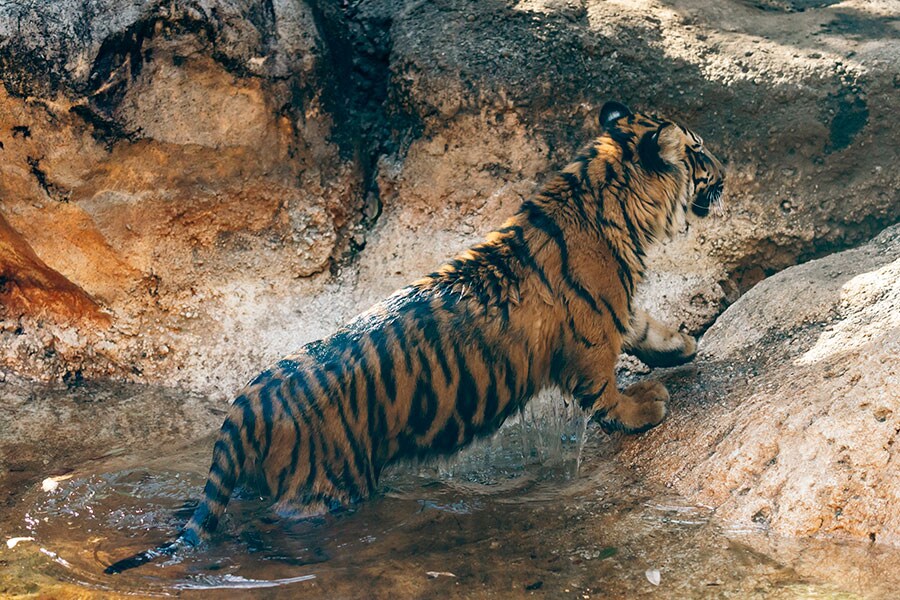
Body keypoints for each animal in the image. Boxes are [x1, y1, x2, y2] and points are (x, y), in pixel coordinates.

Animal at [103, 101, 724, 576]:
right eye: (701, 153)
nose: (730, 175)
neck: (603, 192)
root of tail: (246, 402)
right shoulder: (590, 334)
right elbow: (607, 391)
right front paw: (648, 404)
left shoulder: (615, 311)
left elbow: (644, 327)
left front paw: (683, 345)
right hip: (325, 487)